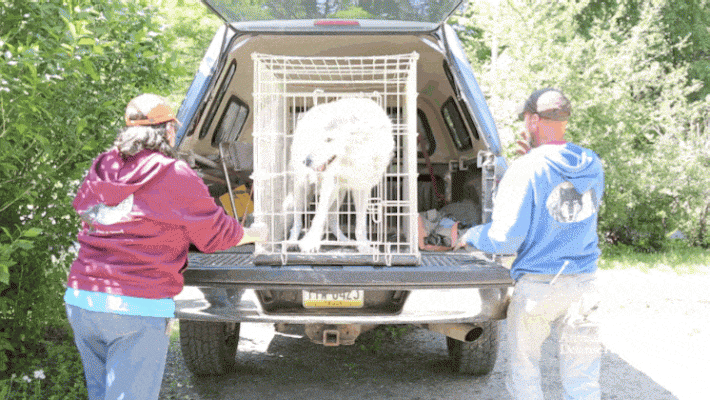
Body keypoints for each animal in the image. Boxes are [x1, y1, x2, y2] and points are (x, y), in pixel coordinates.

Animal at [290, 97, 400, 253]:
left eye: (329, 139)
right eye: (317, 138)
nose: (306, 161)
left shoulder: (362, 188)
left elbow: (360, 224)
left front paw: (364, 246)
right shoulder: (330, 184)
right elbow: (318, 216)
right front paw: (310, 243)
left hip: (339, 195)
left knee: (332, 220)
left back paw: (345, 241)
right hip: (303, 189)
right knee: (298, 220)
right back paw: (291, 242)